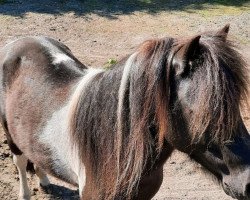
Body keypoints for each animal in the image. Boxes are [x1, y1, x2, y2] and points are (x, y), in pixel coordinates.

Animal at [0, 25, 250, 200]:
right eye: (202, 112)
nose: (248, 183)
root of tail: (16, 43)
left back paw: (44, 182)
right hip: (11, 136)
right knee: (20, 161)